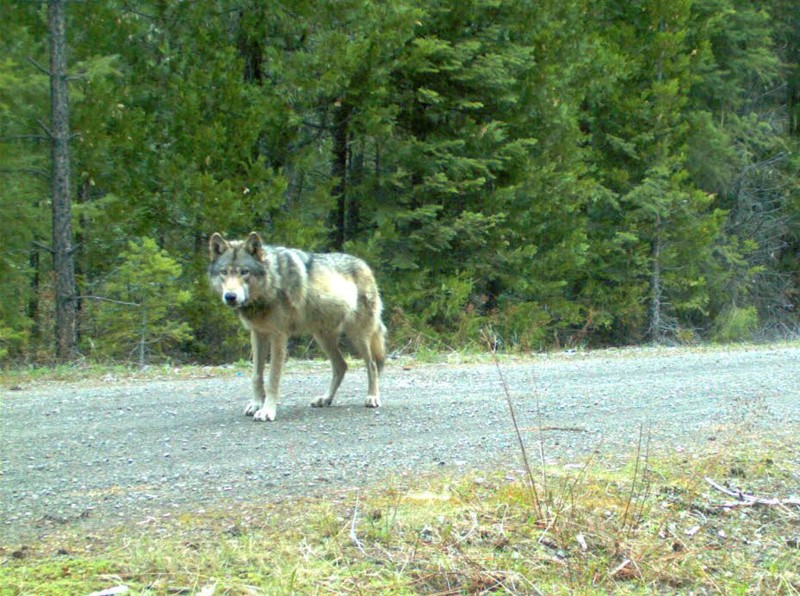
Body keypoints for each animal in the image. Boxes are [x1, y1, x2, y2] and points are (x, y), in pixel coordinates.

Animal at [208, 230, 386, 422]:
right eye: (224, 272)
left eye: (244, 272)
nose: (230, 296)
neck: (272, 282)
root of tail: (365, 264)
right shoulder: (257, 334)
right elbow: (256, 376)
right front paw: (256, 404)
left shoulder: (278, 336)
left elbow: (272, 379)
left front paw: (267, 411)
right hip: (322, 337)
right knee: (341, 366)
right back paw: (325, 399)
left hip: (357, 335)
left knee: (372, 364)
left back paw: (372, 397)